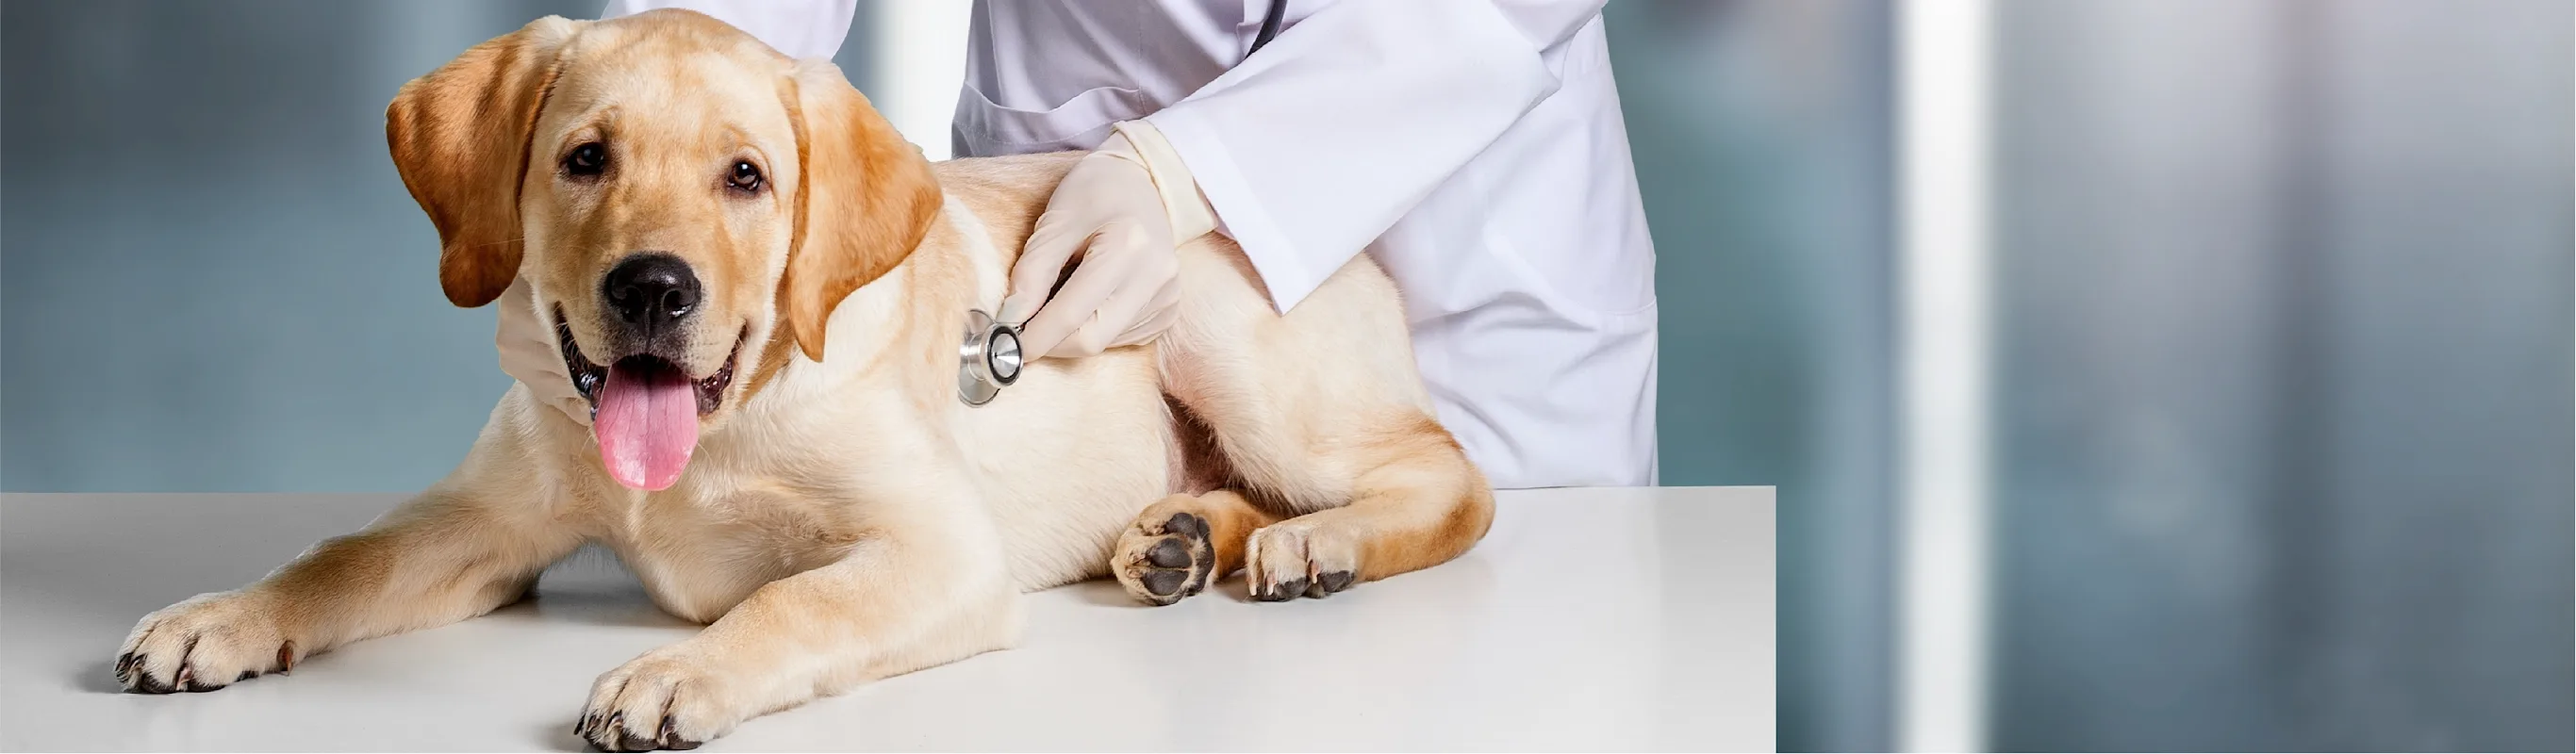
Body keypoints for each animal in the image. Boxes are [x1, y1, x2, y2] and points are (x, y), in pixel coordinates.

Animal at [115, 8, 1494, 746]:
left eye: (747, 177)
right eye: (583, 158)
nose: (653, 291)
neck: (719, 428)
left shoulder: (940, 550)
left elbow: (795, 602)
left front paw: (675, 673)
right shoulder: (484, 521)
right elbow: (340, 555)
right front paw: (218, 615)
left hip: (1223, 340)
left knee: (1452, 478)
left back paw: (1318, 543)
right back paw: (1180, 538)